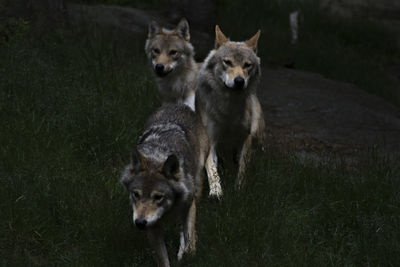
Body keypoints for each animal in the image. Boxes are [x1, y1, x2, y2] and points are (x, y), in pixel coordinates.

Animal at [122, 104, 222, 267]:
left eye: (158, 197)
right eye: (136, 194)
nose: (140, 223)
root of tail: (180, 105)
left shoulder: (189, 205)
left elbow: (190, 242)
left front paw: (187, 254)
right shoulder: (152, 226)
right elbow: (163, 260)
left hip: (199, 175)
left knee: (209, 163)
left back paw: (216, 190)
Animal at [196, 25, 266, 193]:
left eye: (247, 65)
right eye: (227, 62)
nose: (239, 81)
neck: (228, 110)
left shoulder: (245, 138)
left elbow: (242, 168)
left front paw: (239, 190)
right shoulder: (211, 138)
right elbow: (212, 170)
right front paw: (216, 191)